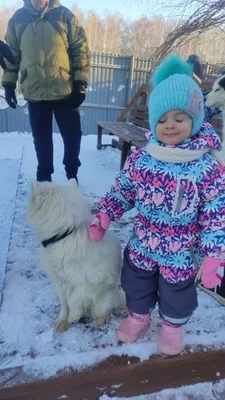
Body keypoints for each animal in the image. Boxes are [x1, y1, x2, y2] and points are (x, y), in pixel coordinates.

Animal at [27, 179, 125, 332]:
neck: (66, 234)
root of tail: (117, 295)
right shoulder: (60, 281)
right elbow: (64, 303)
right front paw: (62, 321)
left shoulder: (93, 280)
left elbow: (73, 298)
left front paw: (74, 315)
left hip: (105, 297)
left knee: (103, 309)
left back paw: (100, 318)